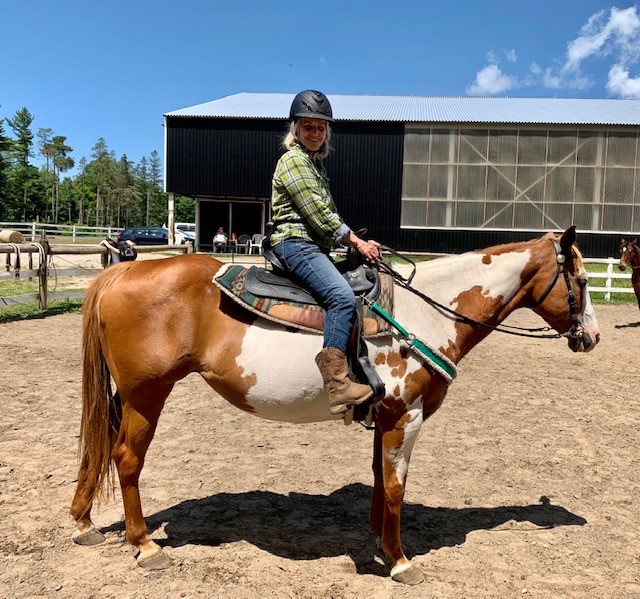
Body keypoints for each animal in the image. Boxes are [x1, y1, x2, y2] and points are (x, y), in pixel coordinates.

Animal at [70, 225, 600, 584]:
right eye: (579, 278)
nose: (591, 338)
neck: (426, 313)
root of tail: (124, 268)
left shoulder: (385, 416)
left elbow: (379, 478)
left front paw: (379, 539)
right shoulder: (406, 416)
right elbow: (396, 487)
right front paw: (400, 560)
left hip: (125, 395)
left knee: (96, 449)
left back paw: (84, 523)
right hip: (147, 394)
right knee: (126, 458)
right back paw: (145, 547)